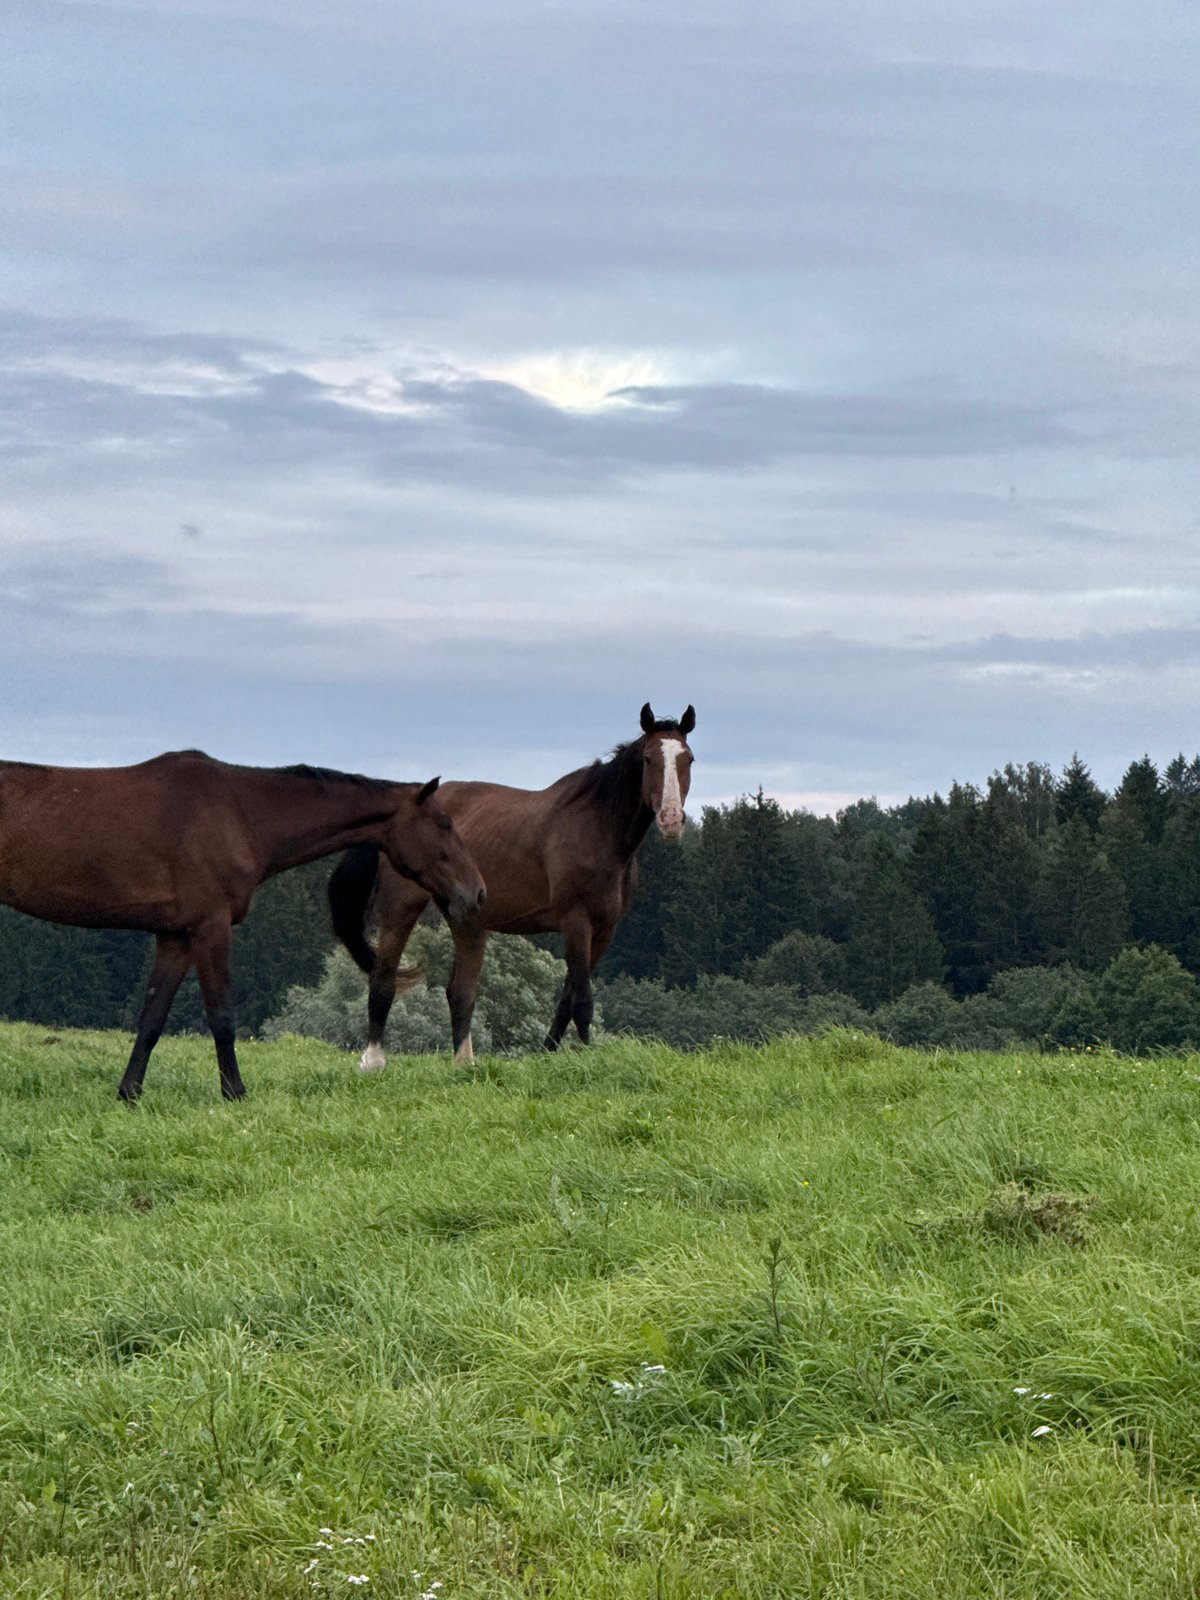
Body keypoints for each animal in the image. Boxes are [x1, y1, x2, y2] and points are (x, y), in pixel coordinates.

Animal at [0, 751, 486, 1101]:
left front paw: (129, 1093)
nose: (477, 893)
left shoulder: (177, 937)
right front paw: (235, 1092)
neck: (240, 813)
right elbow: (222, 1017)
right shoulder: (211, 928)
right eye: (444, 823)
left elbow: (152, 1018)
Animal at [328, 703, 695, 1067]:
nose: (671, 820)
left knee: (460, 991)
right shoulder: (576, 921)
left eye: (688, 759)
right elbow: (582, 1002)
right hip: (401, 907)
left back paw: (464, 1063)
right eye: (648, 759)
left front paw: (548, 1055)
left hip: (468, 918)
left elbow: (566, 999)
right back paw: (373, 1059)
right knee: (384, 979)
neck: (597, 830)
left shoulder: (605, 929)